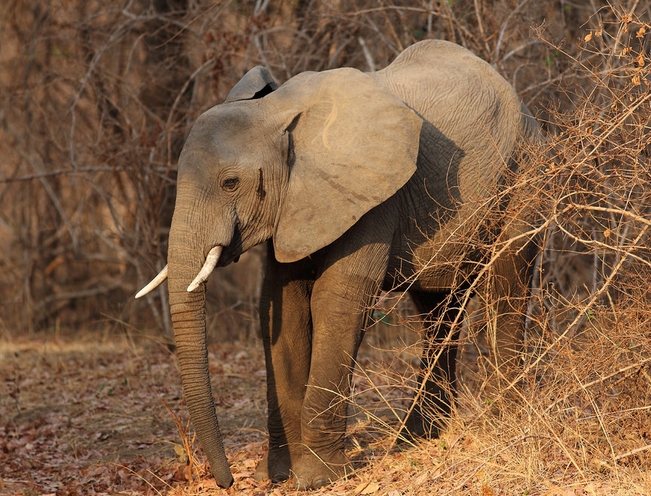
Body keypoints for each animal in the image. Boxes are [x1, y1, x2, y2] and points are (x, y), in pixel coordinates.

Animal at [136, 39, 540, 489]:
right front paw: (278, 476)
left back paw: (506, 421)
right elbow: (282, 304)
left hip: (523, 172)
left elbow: (336, 301)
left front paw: (316, 479)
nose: (227, 482)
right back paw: (417, 439)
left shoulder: (372, 196)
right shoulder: (296, 201)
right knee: (438, 308)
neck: (281, 113)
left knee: (506, 285)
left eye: (230, 183)